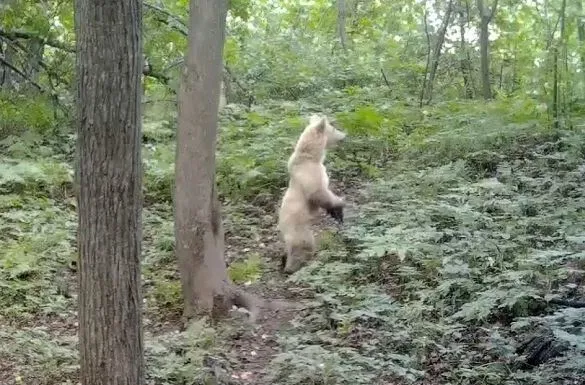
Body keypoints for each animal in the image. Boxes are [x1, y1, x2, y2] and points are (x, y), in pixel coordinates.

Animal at [276, 113, 344, 272]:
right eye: (333, 128)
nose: (344, 135)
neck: (311, 156)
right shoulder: (310, 174)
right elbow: (319, 193)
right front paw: (339, 206)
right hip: (299, 231)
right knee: (304, 246)